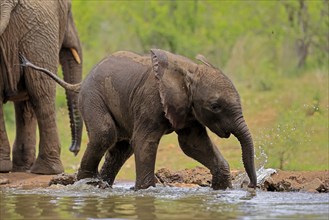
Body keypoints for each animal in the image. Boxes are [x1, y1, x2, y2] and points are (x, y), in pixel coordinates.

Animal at [0, 0, 82, 174]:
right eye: (69, 10)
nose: (73, 149)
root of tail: (8, 3)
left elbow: (25, 104)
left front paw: (22, 168)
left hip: (36, 34)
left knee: (39, 93)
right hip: (40, 33)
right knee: (42, 95)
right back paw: (50, 170)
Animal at [21, 49, 258, 190]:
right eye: (215, 106)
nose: (251, 187)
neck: (189, 70)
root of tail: (82, 81)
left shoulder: (187, 110)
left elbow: (192, 144)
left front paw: (220, 188)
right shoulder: (150, 100)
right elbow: (146, 143)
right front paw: (145, 191)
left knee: (122, 147)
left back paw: (103, 185)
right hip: (92, 97)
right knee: (105, 135)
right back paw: (88, 185)